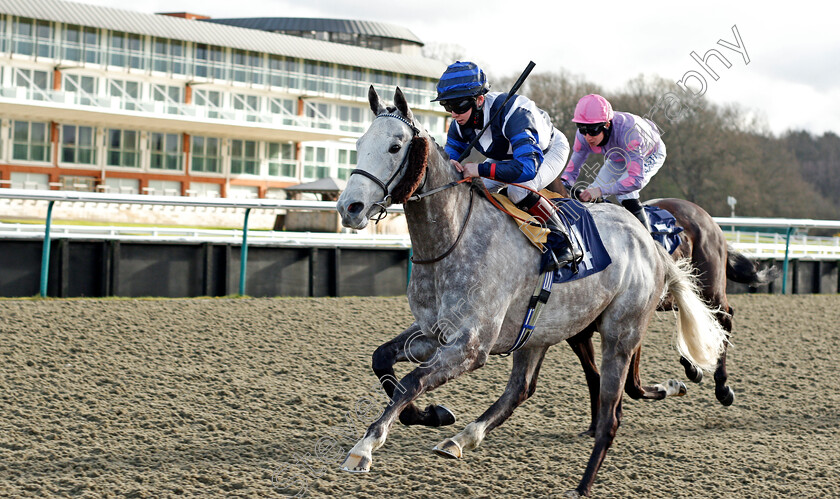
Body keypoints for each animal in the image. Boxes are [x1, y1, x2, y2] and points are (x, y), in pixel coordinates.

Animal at [332, 86, 724, 496]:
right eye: (359, 143)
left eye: (395, 146)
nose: (350, 207)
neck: (453, 240)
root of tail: (649, 242)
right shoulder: (431, 332)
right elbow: (383, 363)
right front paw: (433, 415)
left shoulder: (472, 345)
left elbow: (412, 381)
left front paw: (365, 446)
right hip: (539, 332)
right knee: (520, 389)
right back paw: (462, 438)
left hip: (621, 333)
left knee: (610, 414)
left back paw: (583, 483)